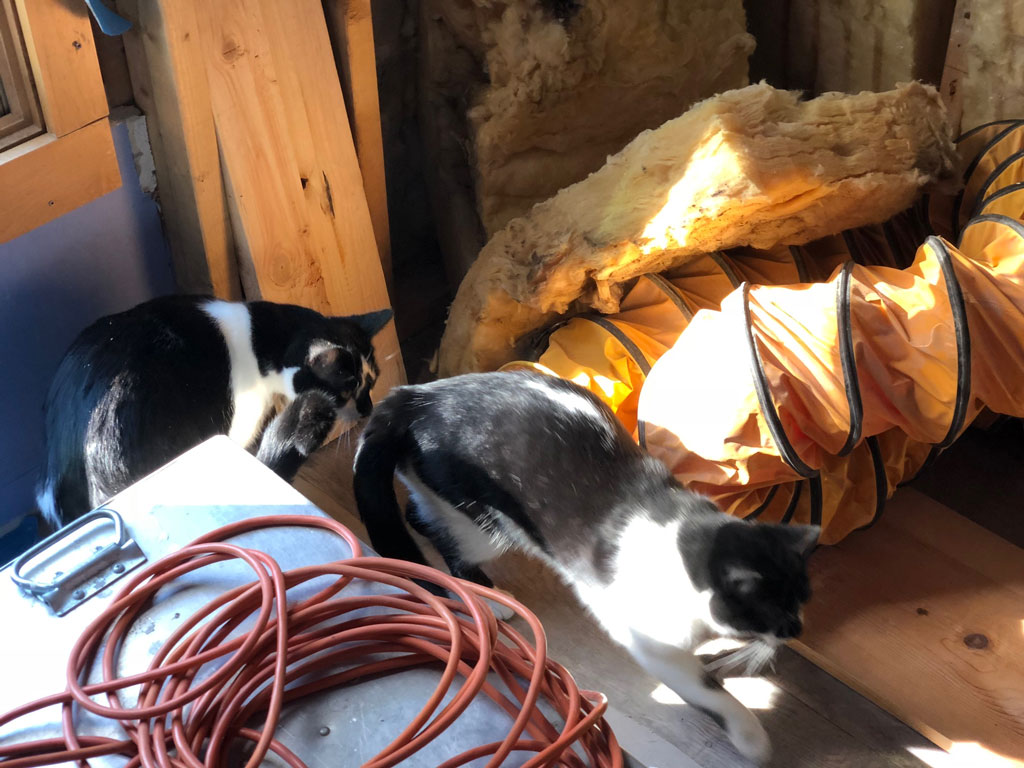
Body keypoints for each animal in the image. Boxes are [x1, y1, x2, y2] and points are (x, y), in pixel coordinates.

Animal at [352, 370, 815, 765]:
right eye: (774, 611)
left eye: (802, 600)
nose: (796, 630)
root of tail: (415, 395)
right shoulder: (653, 644)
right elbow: (708, 692)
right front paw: (751, 737)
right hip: (482, 521)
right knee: (450, 543)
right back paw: (492, 599)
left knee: (418, 514)